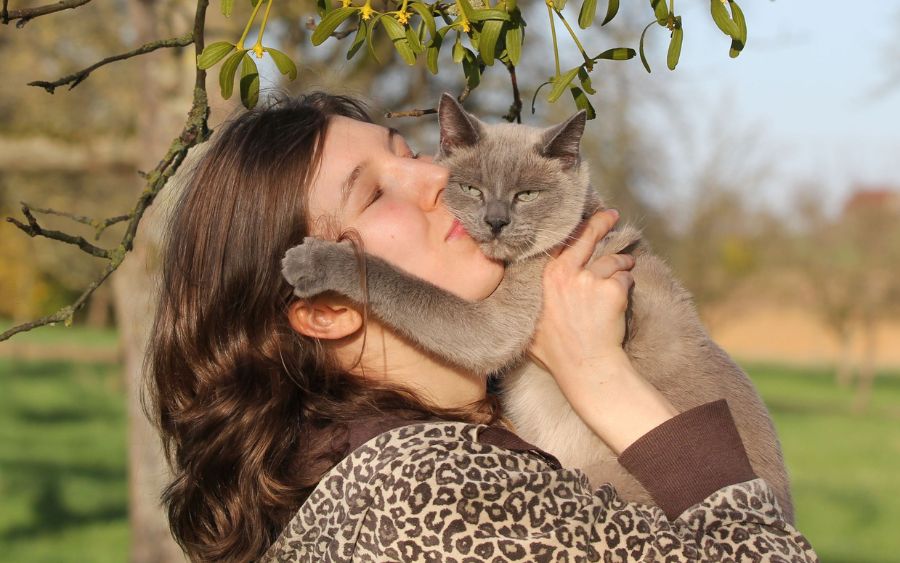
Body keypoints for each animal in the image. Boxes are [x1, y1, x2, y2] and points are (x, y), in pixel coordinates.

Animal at [284, 93, 796, 524]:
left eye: (526, 195)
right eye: (471, 188)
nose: (495, 221)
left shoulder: (495, 323)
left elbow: (397, 280)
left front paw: (307, 261)